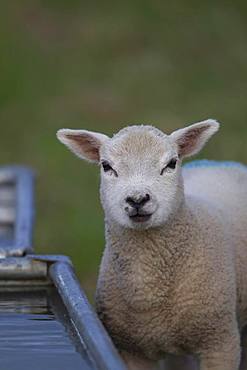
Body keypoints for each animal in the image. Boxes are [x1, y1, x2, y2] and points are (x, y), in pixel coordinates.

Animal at [57, 121, 247, 370]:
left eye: (171, 163)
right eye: (106, 166)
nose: (137, 199)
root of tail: (217, 163)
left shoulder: (220, 342)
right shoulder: (131, 348)